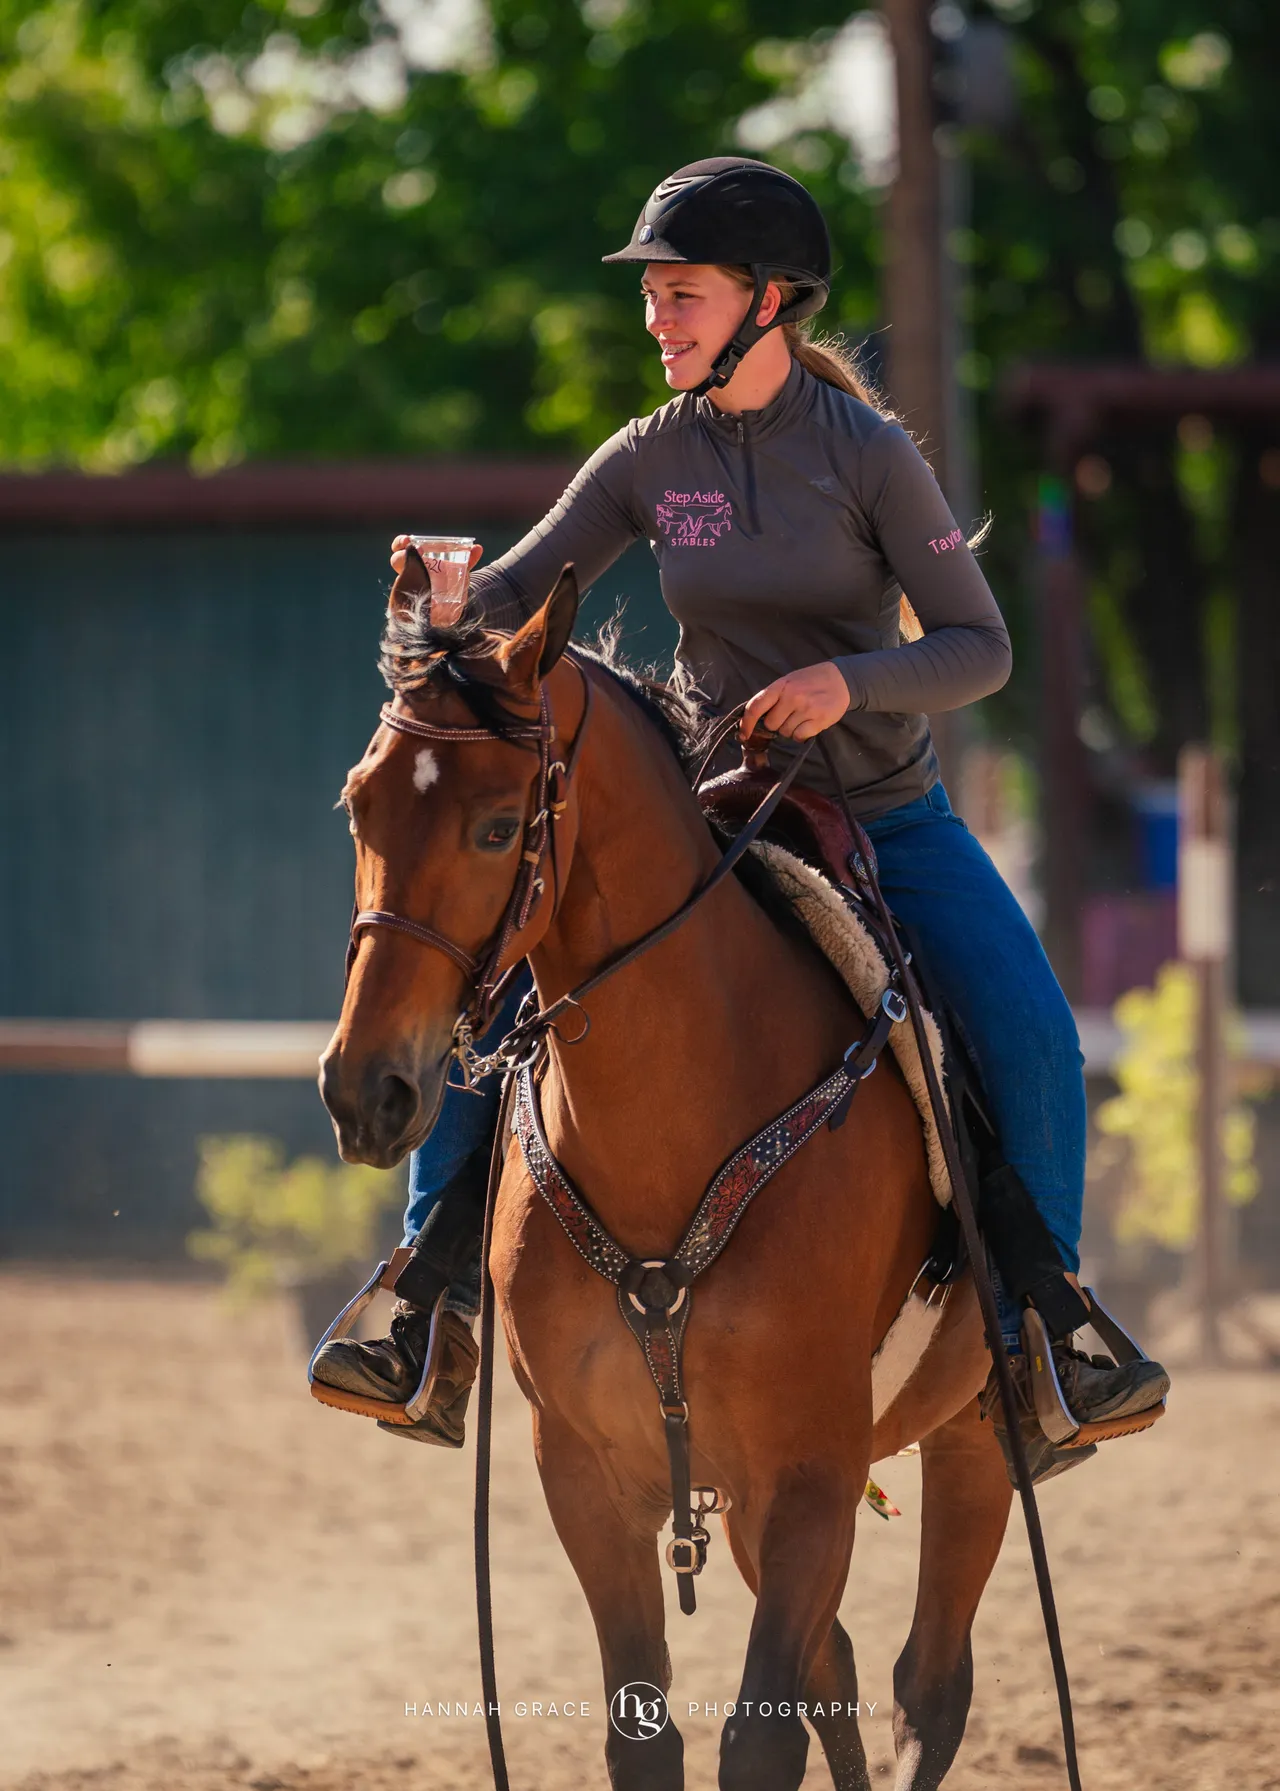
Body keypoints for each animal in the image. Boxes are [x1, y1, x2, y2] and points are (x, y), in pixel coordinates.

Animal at [320, 564, 1013, 1791]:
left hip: (971, 1436)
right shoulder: (586, 1474)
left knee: (926, 1688)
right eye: (360, 806)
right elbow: (643, 1732)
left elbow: (759, 1736)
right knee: (838, 1672)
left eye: (497, 826)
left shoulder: (808, 1472)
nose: (367, 1089)